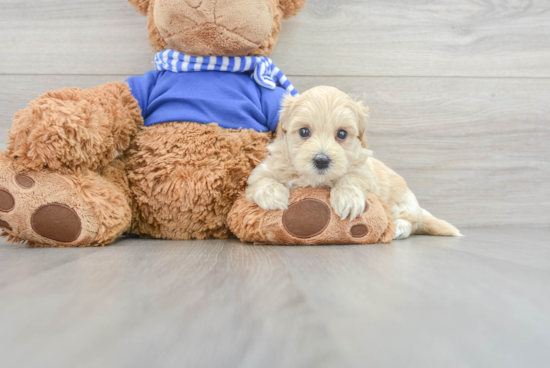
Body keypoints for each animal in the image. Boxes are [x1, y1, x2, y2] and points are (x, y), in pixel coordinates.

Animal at [248, 87, 464, 240]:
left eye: (342, 134)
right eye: (304, 131)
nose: (321, 161)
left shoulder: (367, 172)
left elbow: (353, 176)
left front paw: (347, 199)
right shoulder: (268, 166)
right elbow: (262, 178)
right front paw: (272, 195)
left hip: (403, 205)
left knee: (410, 223)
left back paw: (398, 229)